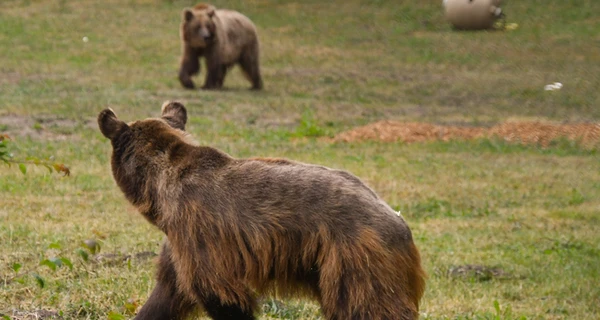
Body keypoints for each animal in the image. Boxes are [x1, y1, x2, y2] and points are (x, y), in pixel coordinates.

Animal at [98, 102, 424, 320]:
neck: (161, 191)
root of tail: (401, 224)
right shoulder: (178, 247)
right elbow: (167, 294)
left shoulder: (199, 231)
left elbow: (219, 293)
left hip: (355, 259)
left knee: (369, 308)